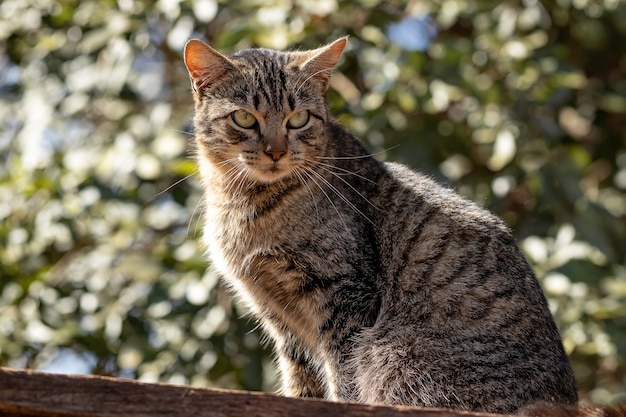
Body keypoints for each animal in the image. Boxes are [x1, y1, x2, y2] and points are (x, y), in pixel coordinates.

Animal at [183, 36, 576, 412]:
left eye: (299, 119)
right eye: (244, 118)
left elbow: (343, 372)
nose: (276, 151)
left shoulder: (344, 293)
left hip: (391, 353)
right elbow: (301, 375)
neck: (244, 204)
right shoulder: (277, 313)